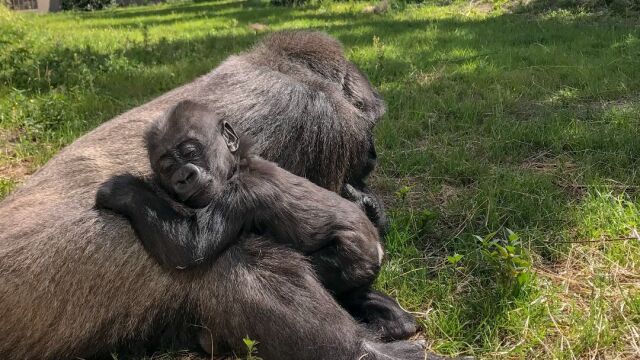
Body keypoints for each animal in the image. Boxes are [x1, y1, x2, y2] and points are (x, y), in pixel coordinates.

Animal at [96, 100, 384, 298]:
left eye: (190, 152)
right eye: (167, 167)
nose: (184, 176)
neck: (239, 164)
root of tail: (378, 247)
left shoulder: (241, 194)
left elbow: (190, 248)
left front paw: (124, 190)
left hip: (355, 257)